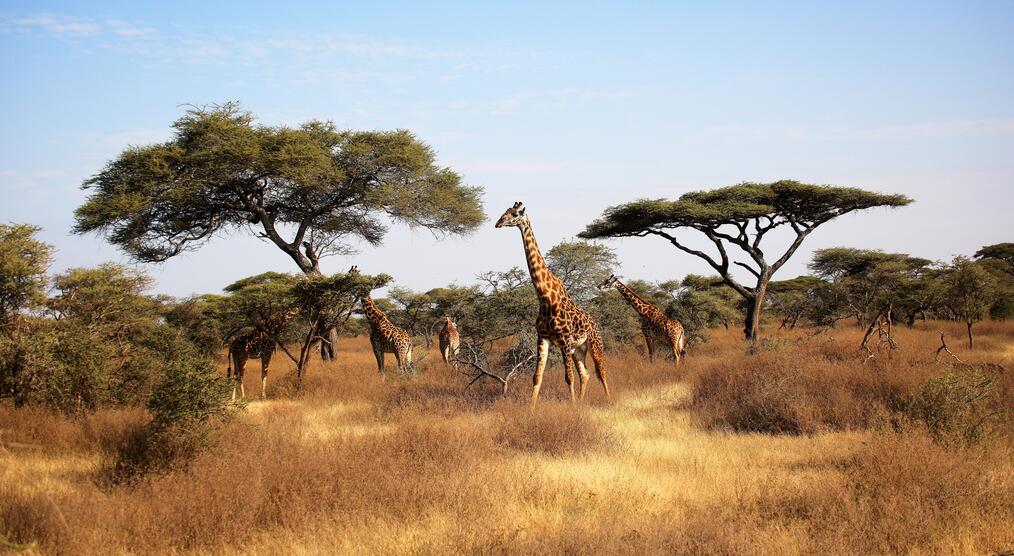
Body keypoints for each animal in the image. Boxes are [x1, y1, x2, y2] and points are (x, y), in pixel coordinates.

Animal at [492, 201, 604, 401]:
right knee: (586, 374)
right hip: (578, 350)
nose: (498, 223)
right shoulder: (543, 338)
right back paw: (582, 402)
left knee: (601, 372)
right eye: (505, 211)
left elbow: (568, 377)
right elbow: (537, 377)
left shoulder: (564, 339)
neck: (544, 297)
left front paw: (572, 406)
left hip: (594, 344)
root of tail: (594, 322)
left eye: (515, 214)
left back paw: (607, 398)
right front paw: (531, 407)